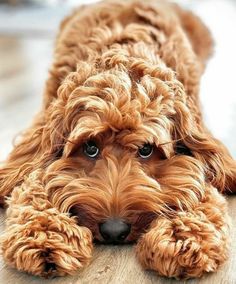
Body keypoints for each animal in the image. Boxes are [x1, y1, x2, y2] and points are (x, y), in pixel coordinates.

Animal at [0, 0, 235, 280]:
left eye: (146, 149)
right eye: (90, 148)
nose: (114, 231)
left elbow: (193, 180)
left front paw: (184, 237)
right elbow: (36, 178)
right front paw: (45, 235)